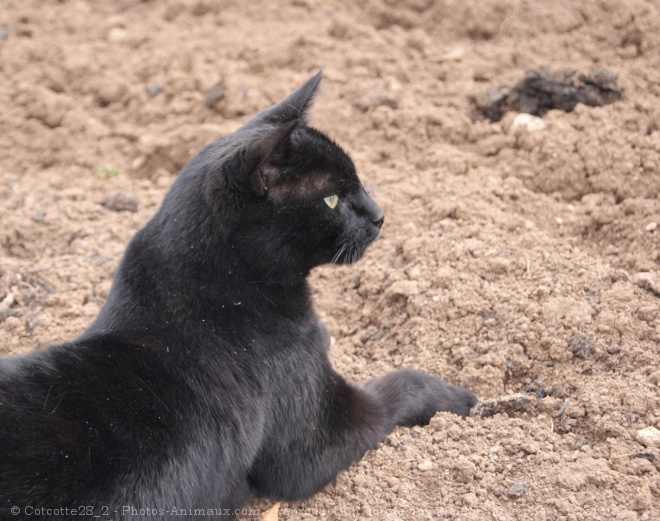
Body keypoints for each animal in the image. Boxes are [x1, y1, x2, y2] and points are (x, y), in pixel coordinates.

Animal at [0, 73, 474, 520]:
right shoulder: (321, 437)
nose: (379, 215)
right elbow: (399, 386)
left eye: (359, 182)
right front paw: (460, 398)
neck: (220, 296)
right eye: (332, 198)